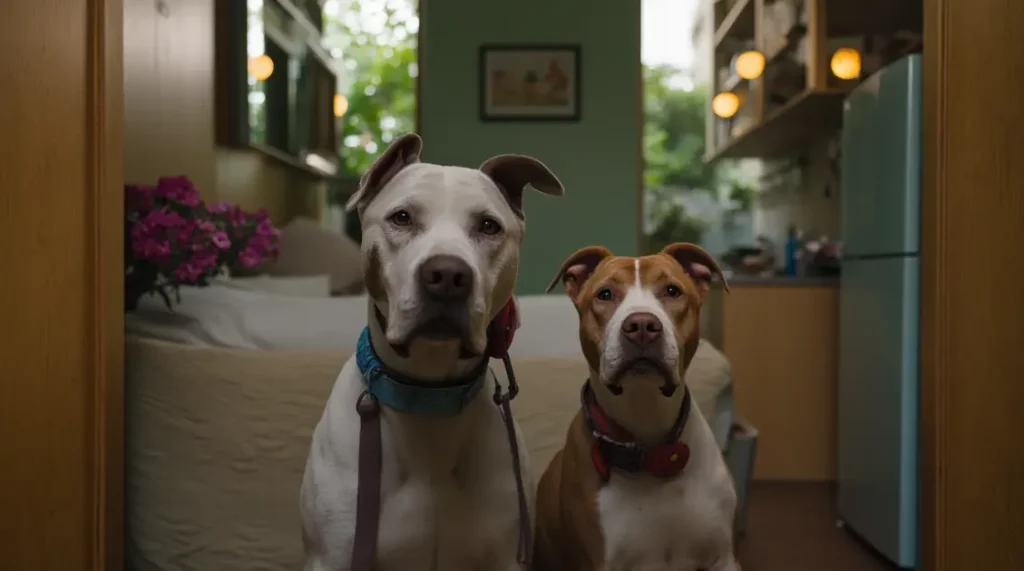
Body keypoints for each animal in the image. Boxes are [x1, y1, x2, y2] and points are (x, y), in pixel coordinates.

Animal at [299, 135, 565, 571]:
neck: (429, 401)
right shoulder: (332, 556)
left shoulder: (507, 557)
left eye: (489, 226)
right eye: (402, 218)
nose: (447, 276)